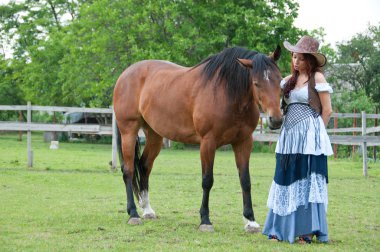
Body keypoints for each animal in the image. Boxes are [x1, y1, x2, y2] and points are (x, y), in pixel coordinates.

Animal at [113, 45, 282, 232]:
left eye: (280, 81)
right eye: (256, 83)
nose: (276, 120)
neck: (227, 93)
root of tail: (125, 74)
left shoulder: (243, 142)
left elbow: (245, 180)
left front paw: (250, 220)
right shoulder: (208, 142)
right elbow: (207, 180)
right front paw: (205, 220)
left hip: (154, 135)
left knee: (144, 166)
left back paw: (147, 210)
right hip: (128, 131)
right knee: (128, 171)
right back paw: (133, 214)